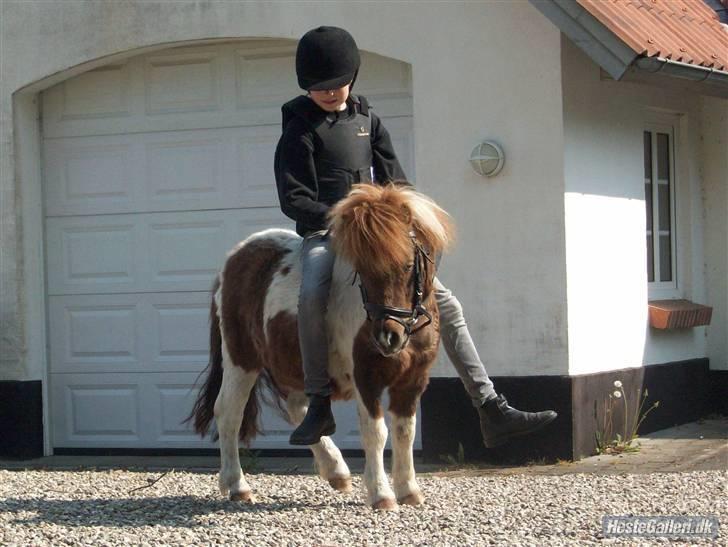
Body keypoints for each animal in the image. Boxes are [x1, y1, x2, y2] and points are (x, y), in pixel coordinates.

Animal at [192, 183, 456, 510]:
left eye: (408, 265)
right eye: (362, 271)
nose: (387, 337)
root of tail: (234, 258)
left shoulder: (413, 380)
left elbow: (405, 431)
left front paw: (408, 491)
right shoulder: (365, 377)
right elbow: (376, 432)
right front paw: (381, 495)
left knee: (297, 408)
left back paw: (335, 471)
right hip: (241, 360)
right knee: (229, 412)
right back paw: (237, 485)